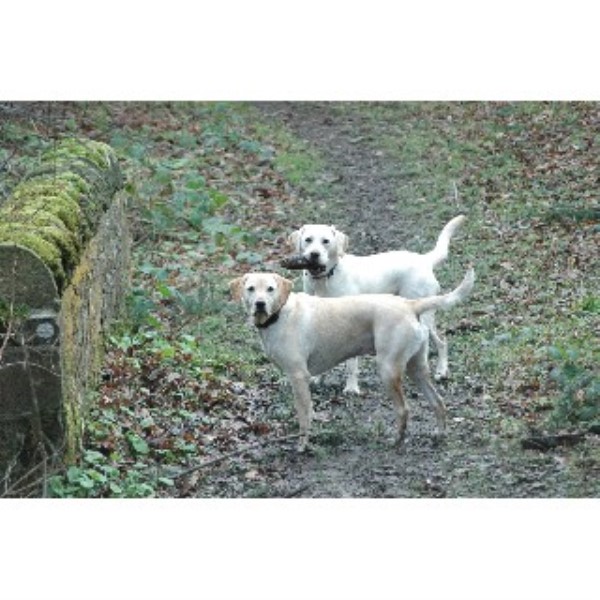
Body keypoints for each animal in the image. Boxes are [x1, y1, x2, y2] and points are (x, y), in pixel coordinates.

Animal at [230, 268, 474, 450]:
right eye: (251, 289)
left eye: (270, 289)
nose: (260, 303)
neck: (280, 314)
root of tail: (410, 304)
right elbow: (309, 411)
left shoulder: (298, 377)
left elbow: (303, 417)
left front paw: (302, 446)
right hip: (417, 369)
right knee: (438, 402)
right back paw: (439, 434)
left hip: (388, 370)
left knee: (404, 410)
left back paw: (395, 441)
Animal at [288, 213, 466, 392]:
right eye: (308, 240)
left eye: (326, 241)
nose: (314, 254)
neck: (326, 279)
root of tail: (424, 260)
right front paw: (317, 378)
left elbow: (351, 364)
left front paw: (351, 387)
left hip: (424, 315)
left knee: (441, 342)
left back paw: (441, 371)